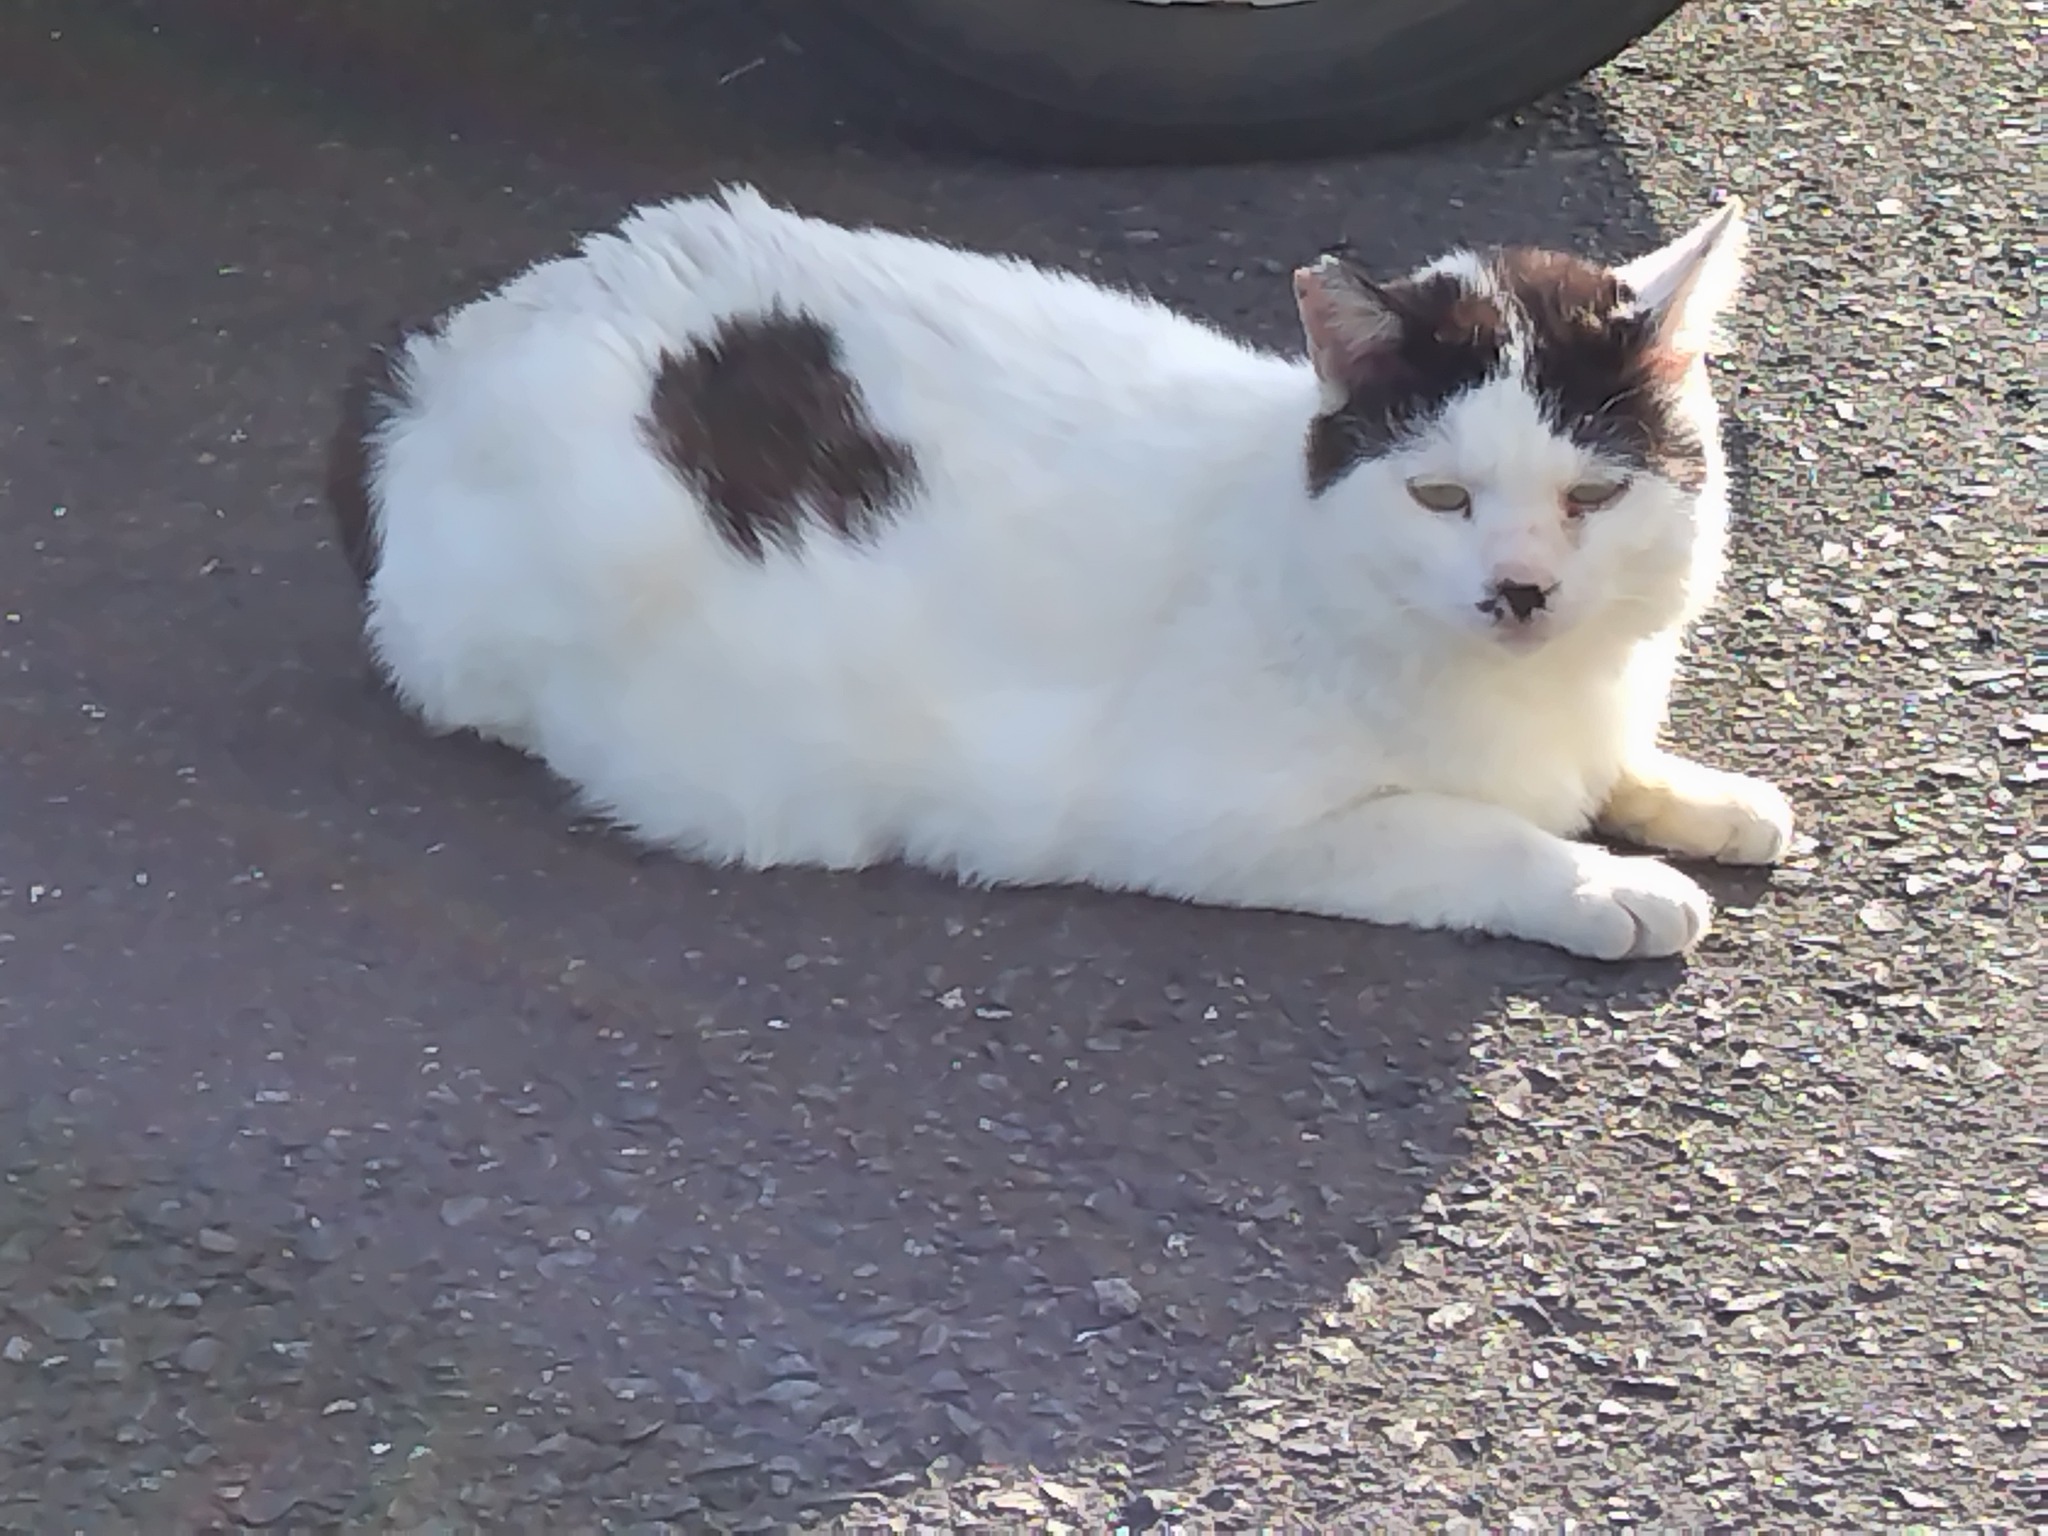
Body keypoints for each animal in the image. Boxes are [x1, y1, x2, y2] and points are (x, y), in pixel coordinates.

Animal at [329, 184, 1793, 961]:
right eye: (1440, 496)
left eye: (1592, 496)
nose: (1520, 590)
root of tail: (447, 350)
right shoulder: (1224, 821)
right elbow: (1469, 835)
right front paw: (1603, 887)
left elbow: (1616, 768)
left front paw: (1703, 799)